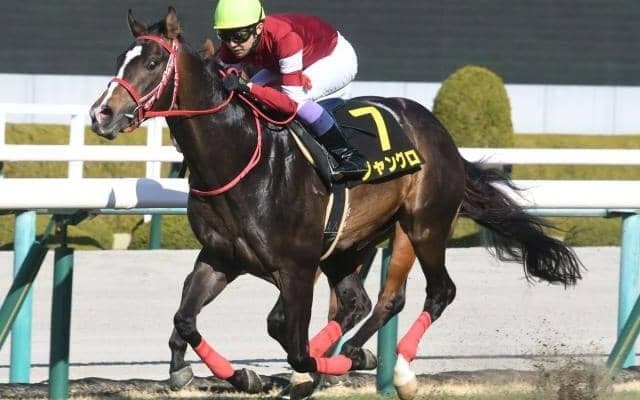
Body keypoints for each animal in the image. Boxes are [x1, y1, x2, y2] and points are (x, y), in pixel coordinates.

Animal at [89, 7, 582, 399]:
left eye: (153, 62)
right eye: (119, 60)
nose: (101, 114)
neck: (240, 157)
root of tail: (437, 129)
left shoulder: (296, 265)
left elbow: (289, 337)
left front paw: (305, 370)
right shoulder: (220, 256)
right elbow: (186, 320)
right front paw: (214, 374)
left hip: (422, 226)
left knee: (430, 293)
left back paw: (390, 369)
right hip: (350, 245)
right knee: (360, 304)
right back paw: (348, 356)